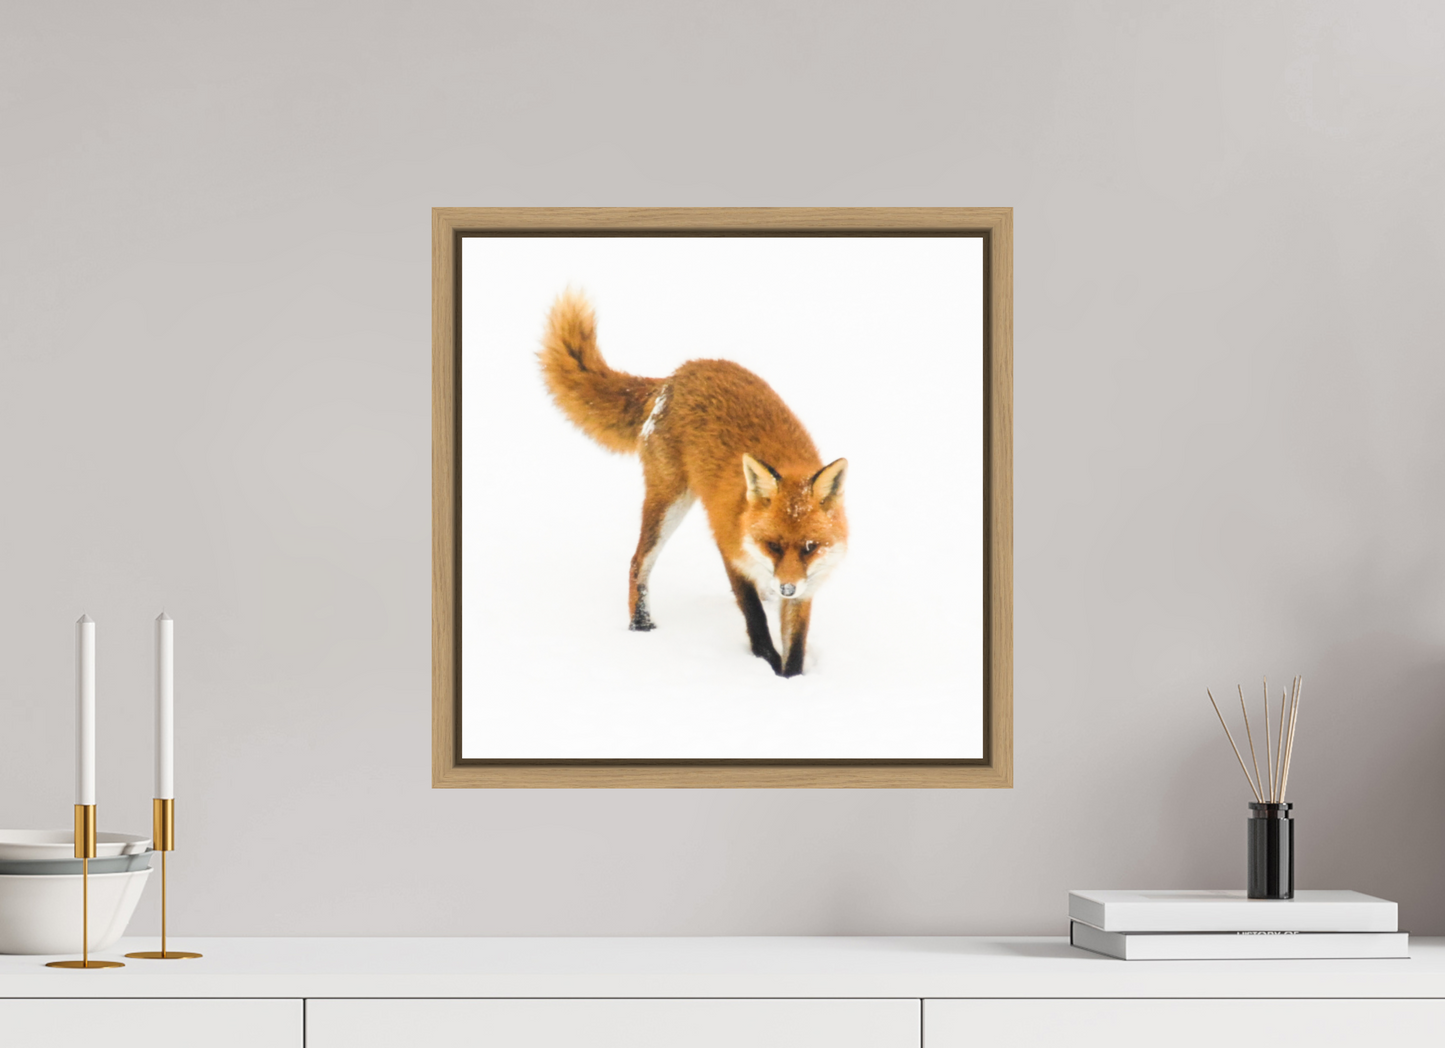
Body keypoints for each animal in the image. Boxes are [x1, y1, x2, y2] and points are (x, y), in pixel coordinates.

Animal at [537, 289, 847, 678]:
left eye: (809, 547)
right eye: (773, 545)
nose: (787, 587)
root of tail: (676, 375)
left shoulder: (807, 586)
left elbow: (797, 646)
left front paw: (789, 679)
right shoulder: (729, 549)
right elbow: (756, 620)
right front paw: (765, 664)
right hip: (668, 503)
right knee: (638, 562)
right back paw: (640, 625)